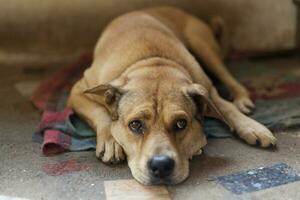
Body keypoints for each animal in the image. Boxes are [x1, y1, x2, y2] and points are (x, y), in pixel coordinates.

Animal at [68, 5, 276, 184]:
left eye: (181, 124)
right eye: (135, 125)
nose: (161, 165)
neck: (152, 61)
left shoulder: (207, 90)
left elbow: (227, 108)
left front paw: (252, 127)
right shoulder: (78, 90)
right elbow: (100, 113)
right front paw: (111, 141)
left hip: (202, 45)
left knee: (229, 77)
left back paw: (242, 98)